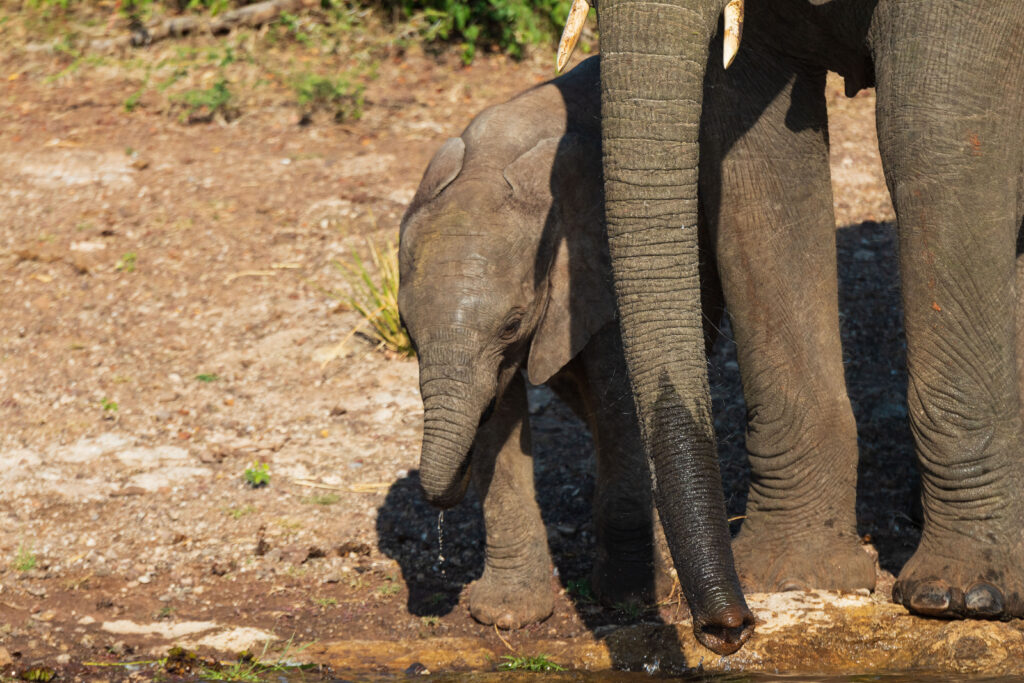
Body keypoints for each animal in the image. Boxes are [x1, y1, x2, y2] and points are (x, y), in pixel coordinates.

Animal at [398, 56, 715, 628]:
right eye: (405, 327)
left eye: (511, 323)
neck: (495, 158)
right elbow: (500, 417)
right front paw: (506, 617)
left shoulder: (599, 265)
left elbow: (618, 402)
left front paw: (629, 599)